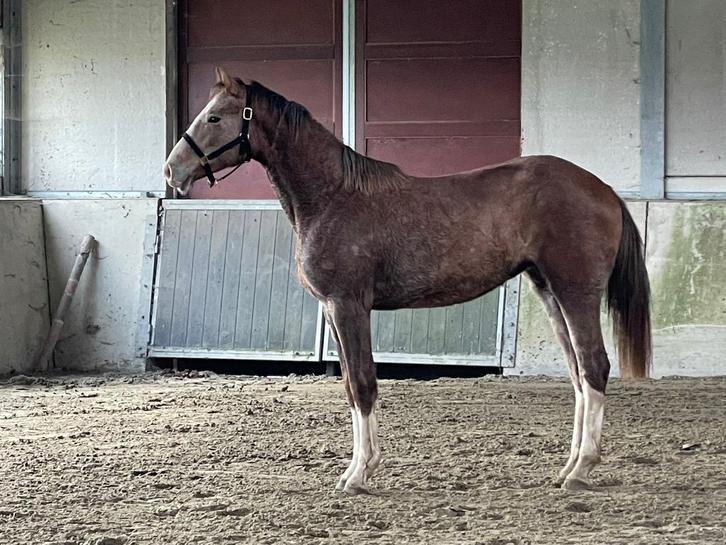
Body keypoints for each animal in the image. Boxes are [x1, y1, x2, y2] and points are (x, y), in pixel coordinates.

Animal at [163, 67, 651, 494]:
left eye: (214, 117)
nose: (172, 171)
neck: (332, 198)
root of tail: (604, 190)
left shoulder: (348, 306)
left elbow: (363, 384)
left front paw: (359, 474)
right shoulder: (333, 311)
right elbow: (350, 384)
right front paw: (357, 468)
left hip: (575, 293)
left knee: (594, 367)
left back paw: (581, 470)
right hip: (549, 292)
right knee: (578, 375)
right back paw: (568, 467)